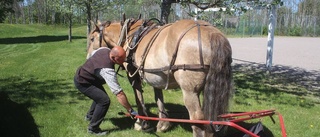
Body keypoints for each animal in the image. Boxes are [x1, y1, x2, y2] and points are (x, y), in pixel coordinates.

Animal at [87, 16, 232, 137]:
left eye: (92, 39)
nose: (88, 58)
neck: (130, 36)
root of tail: (212, 33)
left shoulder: (133, 75)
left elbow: (139, 98)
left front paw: (142, 123)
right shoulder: (155, 76)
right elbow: (159, 98)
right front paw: (163, 124)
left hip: (190, 91)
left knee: (197, 121)